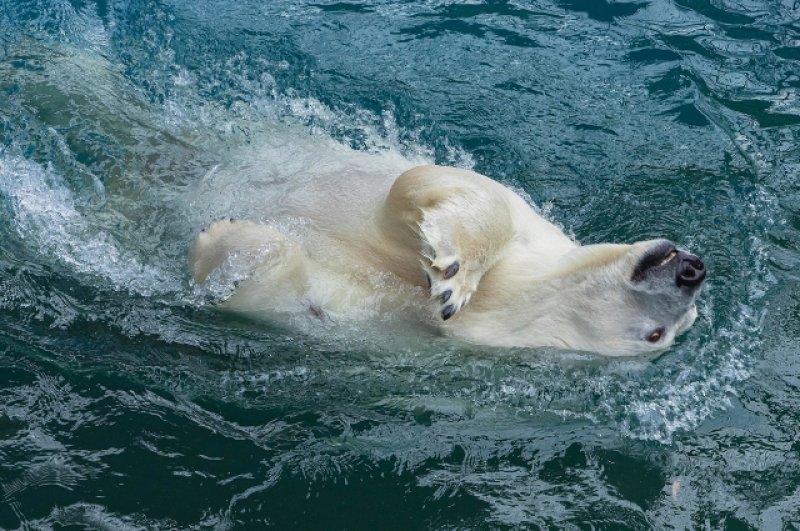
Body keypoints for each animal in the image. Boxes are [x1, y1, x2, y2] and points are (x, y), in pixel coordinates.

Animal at [189, 163, 708, 358]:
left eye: (657, 334)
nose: (693, 271)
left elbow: (284, 292)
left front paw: (218, 241)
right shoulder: (533, 228)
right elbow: (431, 183)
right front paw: (455, 275)